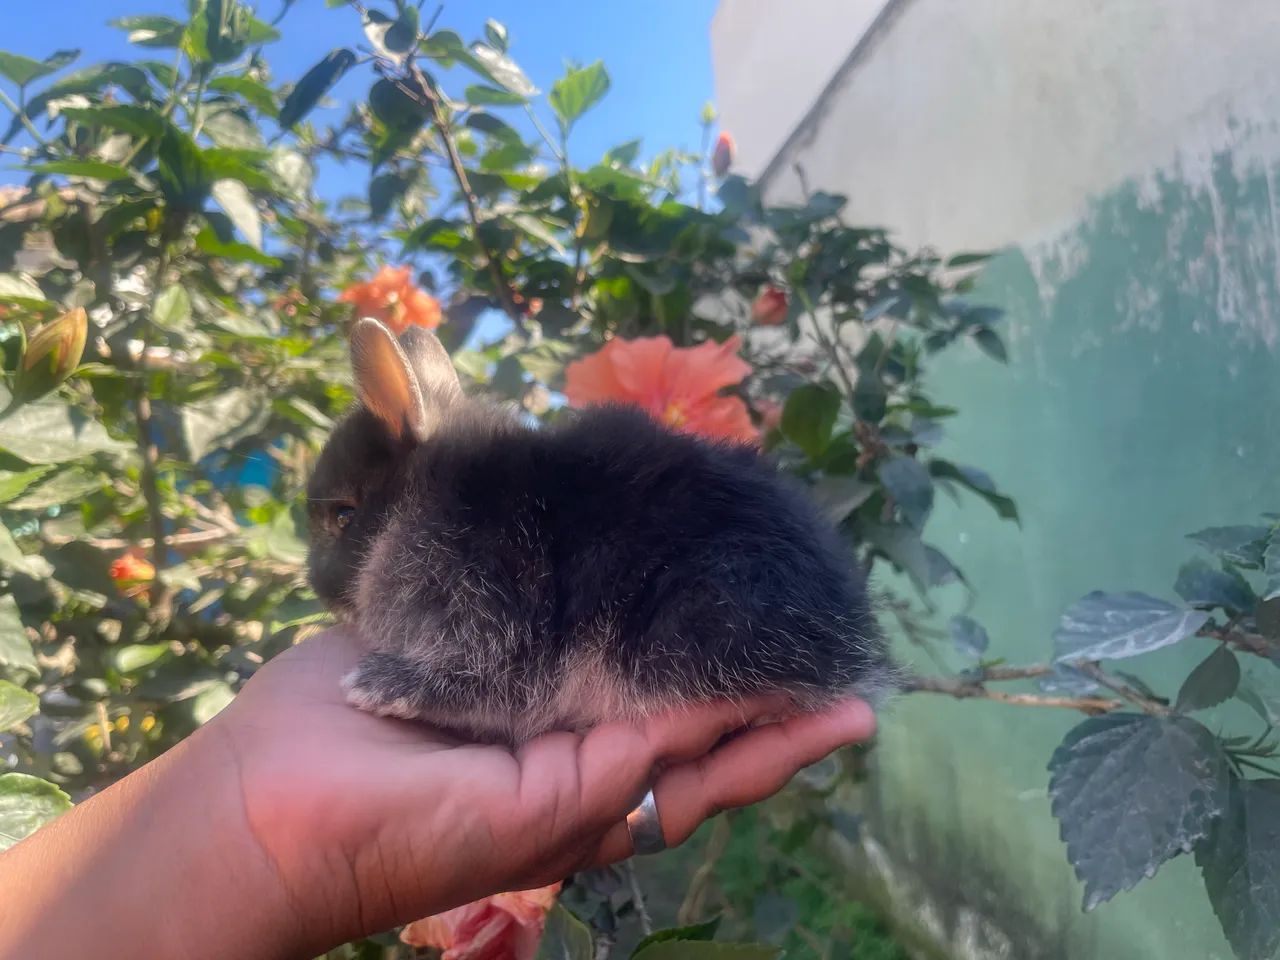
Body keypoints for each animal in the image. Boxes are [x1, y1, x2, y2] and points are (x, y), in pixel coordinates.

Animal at [306, 318, 894, 745]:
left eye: (343, 515)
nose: (317, 587)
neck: (426, 497)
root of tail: (851, 649)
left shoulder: (492, 614)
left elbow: (488, 688)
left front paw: (377, 686)